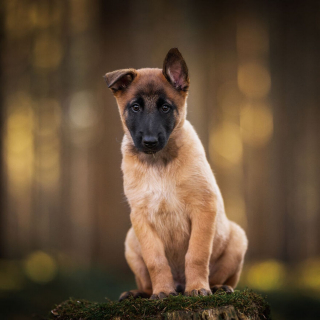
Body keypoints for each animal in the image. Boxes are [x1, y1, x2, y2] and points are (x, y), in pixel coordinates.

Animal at [105, 47, 248, 300]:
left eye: (165, 108)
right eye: (135, 107)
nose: (150, 142)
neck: (159, 164)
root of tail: (180, 284)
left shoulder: (203, 208)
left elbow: (197, 255)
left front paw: (198, 288)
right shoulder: (141, 218)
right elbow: (155, 260)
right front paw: (162, 291)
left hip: (238, 239)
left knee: (221, 276)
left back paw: (216, 287)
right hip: (131, 240)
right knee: (146, 282)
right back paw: (140, 292)